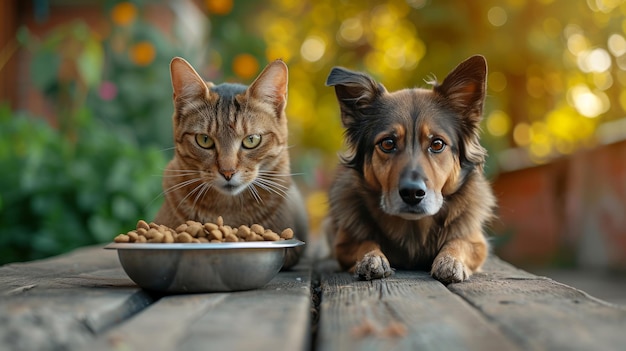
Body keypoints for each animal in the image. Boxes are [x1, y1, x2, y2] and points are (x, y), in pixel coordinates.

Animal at [324, 55, 494, 286]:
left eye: (437, 144)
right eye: (387, 143)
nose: (412, 193)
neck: (413, 228)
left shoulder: (476, 241)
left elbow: (459, 241)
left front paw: (450, 260)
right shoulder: (343, 243)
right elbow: (364, 241)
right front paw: (371, 258)